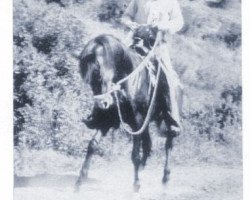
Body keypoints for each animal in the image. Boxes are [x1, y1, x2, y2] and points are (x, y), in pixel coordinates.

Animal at [75, 25, 179, 191]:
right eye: (90, 80)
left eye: (98, 73)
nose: (103, 104)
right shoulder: (108, 120)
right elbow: (92, 145)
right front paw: (79, 182)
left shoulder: (137, 122)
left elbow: (135, 155)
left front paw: (136, 186)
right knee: (148, 145)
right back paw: (142, 171)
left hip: (166, 120)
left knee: (168, 144)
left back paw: (165, 178)